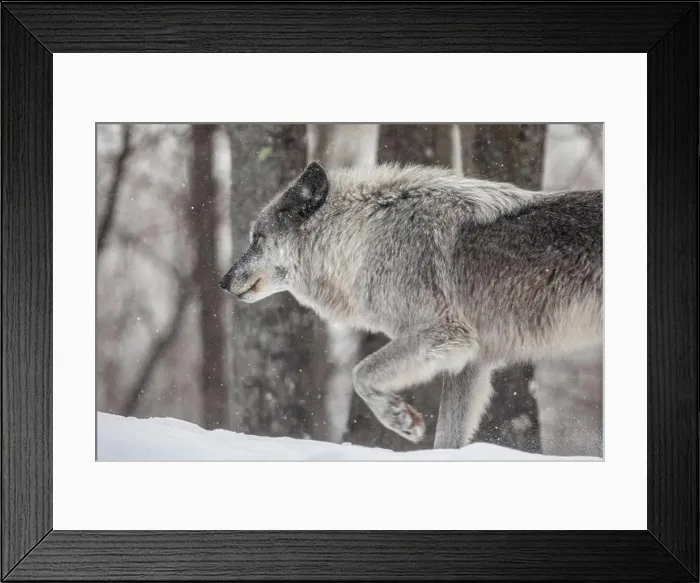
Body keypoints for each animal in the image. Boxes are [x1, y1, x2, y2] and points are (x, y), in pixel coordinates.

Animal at [220, 161, 603, 446]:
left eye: (256, 239)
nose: (222, 282)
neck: (361, 239)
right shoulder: (470, 362)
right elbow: (446, 440)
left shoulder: (446, 333)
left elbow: (361, 374)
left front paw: (399, 417)